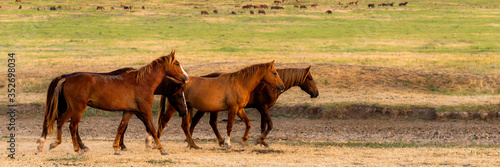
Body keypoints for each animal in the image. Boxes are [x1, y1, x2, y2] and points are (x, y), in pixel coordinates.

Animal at [35, 51, 188, 155]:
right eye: (177, 63)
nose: (185, 78)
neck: (142, 82)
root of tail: (66, 78)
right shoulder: (145, 110)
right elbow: (151, 128)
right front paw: (161, 149)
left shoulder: (129, 111)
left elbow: (121, 128)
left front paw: (117, 148)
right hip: (78, 108)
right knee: (72, 126)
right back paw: (77, 148)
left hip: (71, 108)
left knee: (60, 121)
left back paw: (55, 143)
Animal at [189, 66, 318, 147]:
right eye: (310, 78)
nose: (316, 93)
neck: (270, 85)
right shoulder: (263, 108)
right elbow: (270, 124)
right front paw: (260, 140)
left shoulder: (263, 109)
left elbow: (263, 125)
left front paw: (263, 142)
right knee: (209, 122)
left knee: (200, 121)